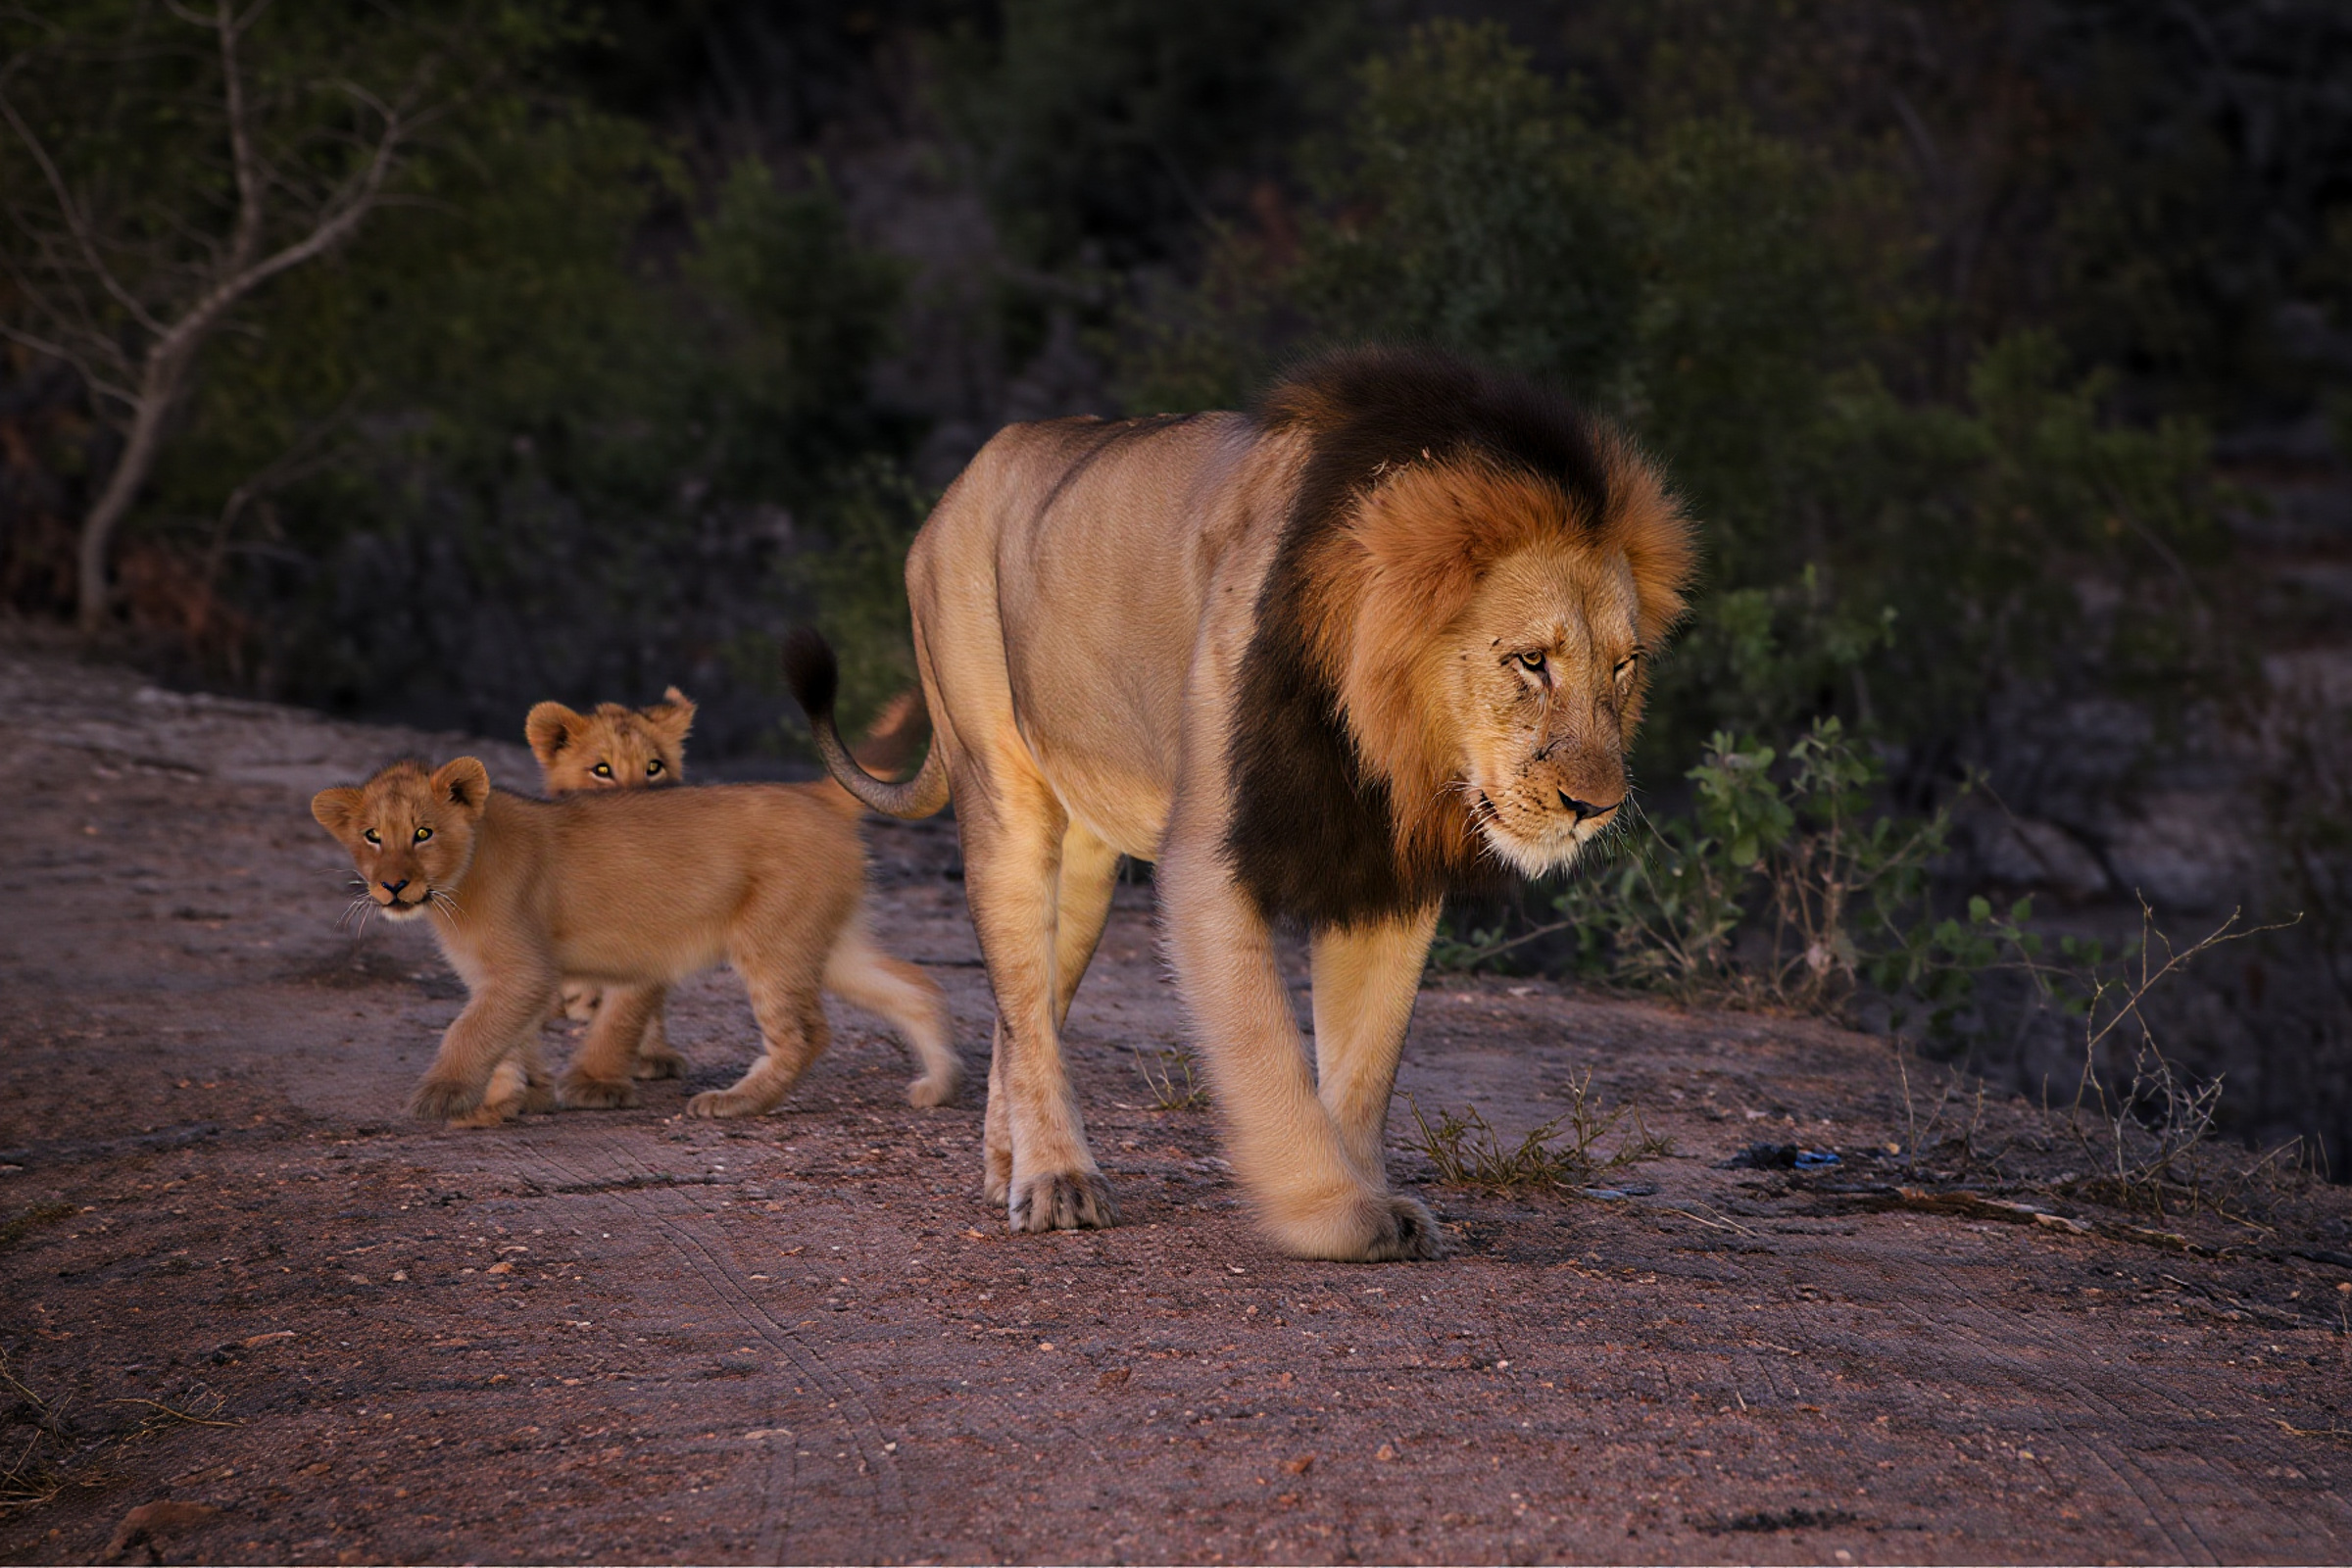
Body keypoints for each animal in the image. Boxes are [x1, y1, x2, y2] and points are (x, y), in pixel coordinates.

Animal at [310, 755, 959, 1126]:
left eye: (422, 833)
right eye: (372, 836)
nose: (393, 886)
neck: (457, 883)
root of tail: (815, 794)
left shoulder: (523, 969)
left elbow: (470, 1031)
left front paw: (443, 1096)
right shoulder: (497, 977)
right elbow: (509, 1039)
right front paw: (511, 1099)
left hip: (771, 940)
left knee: (804, 1033)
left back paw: (734, 1102)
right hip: (827, 941)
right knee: (917, 986)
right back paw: (938, 1086)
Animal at [788, 348, 1695, 1260]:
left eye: (1624, 665)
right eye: (1532, 661)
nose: (1596, 806)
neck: (1382, 735)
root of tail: (966, 478)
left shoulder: (1382, 868)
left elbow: (1366, 1062)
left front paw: (1370, 1196)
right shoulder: (1207, 857)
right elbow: (1266, 1051)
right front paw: (1327, 1209)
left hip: (1084, 864)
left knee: (1026, 1017)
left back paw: (1009, 1168)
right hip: (1002, 792)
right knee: (1023, 1005)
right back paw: (1056, 1181)